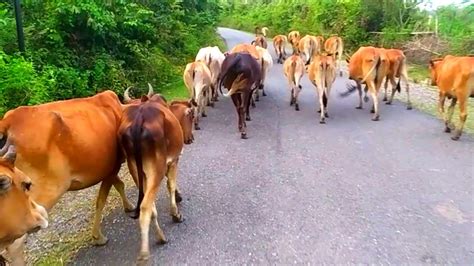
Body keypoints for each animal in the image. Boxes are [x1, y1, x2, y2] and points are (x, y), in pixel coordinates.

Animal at [0, 91, 135, 264]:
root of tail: (7, 122)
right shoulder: (112, 167)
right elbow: (102, 200)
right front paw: (98, 237)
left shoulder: (110, 170)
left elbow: (119, 185)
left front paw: (128, 206)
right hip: (40, 195)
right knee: (16, 243)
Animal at [117, 95, 186, 262]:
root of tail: (138, 120)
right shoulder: (173, 160)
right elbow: (170, 184)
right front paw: (175, 213)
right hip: (156, 169)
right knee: (145, 206)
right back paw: (145, 252)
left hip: (135, 169)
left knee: (148, 205)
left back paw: (160, 236)